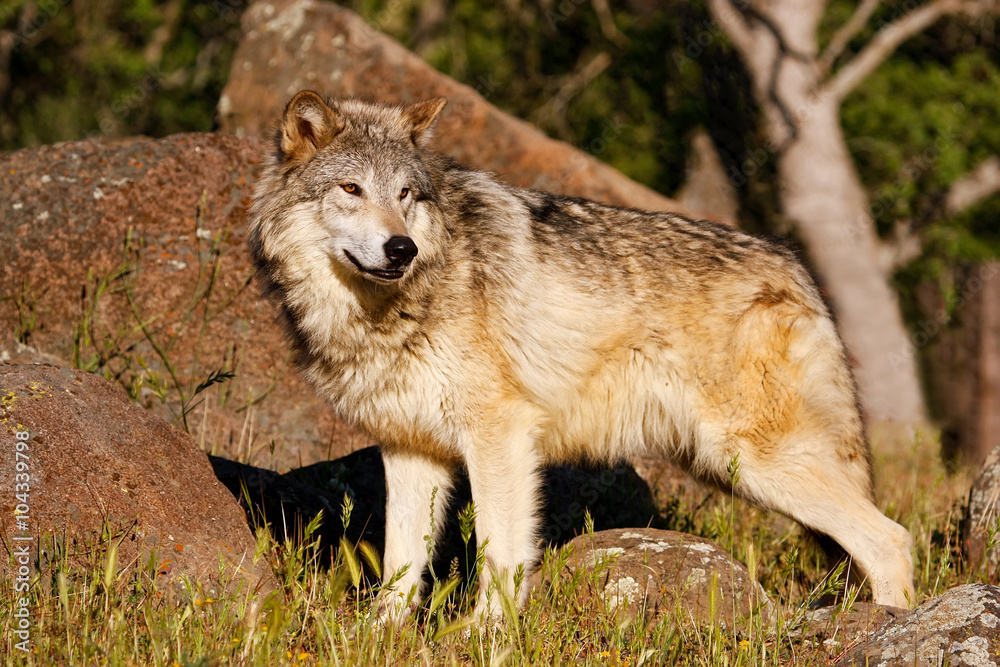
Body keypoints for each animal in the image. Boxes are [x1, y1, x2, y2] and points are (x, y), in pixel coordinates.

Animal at [248, 91, 915, 619]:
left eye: (407, 194)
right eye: (351, 189)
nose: (401, 248)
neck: (386, 313)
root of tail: (797, 268)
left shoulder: (501, 436)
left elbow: (499, 554)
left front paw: (487, 636)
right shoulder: (411, 449)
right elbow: (399, 571)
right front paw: (380, 637)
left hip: (755, 463)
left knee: (893, 539)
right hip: (721, 465)